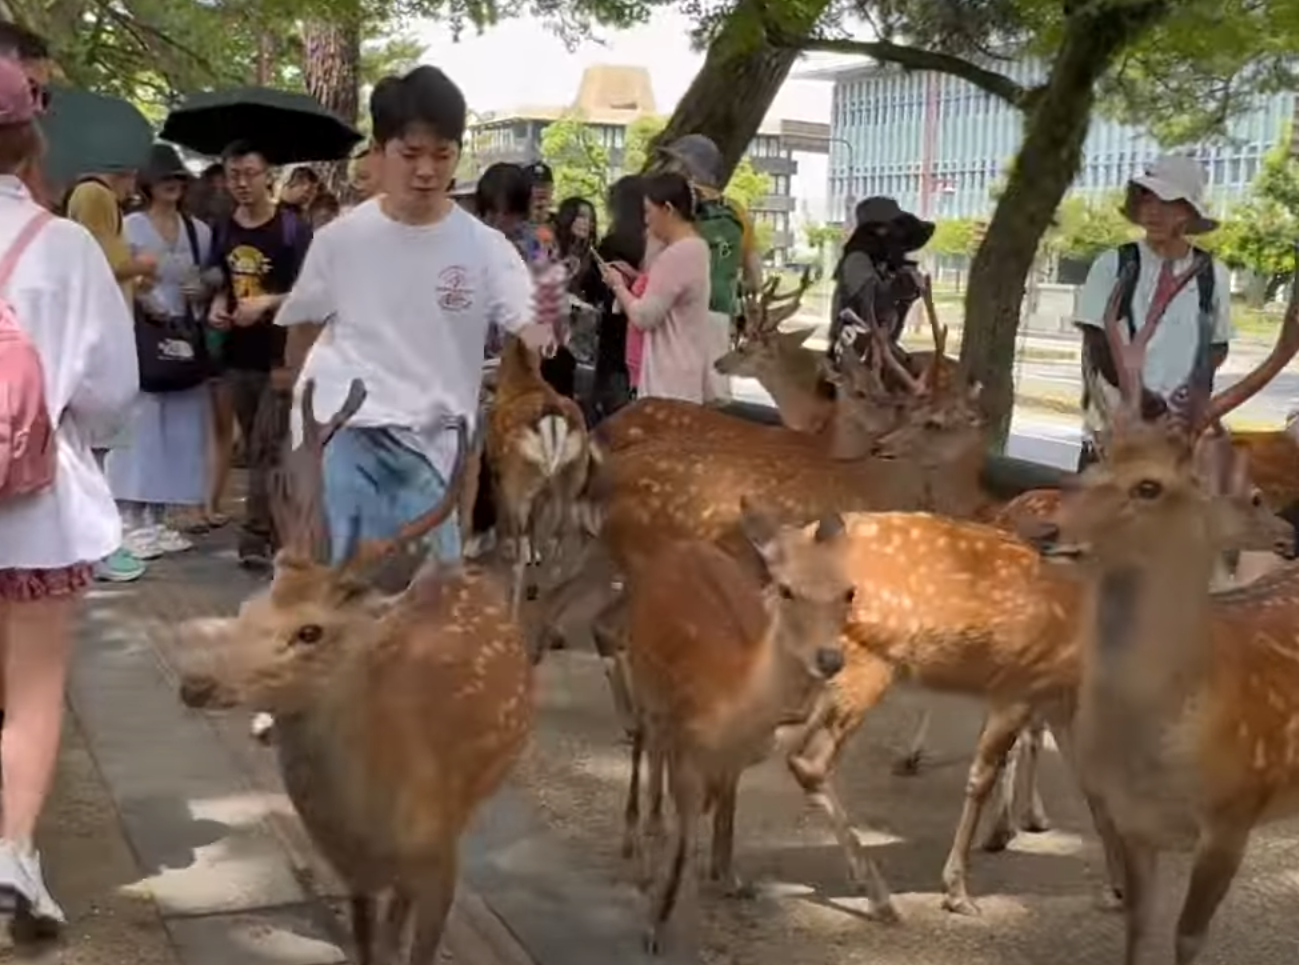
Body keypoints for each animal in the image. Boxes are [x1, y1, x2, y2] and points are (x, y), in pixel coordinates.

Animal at [177, 379, 533, 965]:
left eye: (310, 632)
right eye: (248, 608)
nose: (195, 682)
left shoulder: (442, 865)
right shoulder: (354, 878)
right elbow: (371, 947)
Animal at [486, 334, 592, 616]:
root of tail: (553, 420)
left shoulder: (499, 476)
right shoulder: (541, 493)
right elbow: (536, 532)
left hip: (519, 483)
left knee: (522, 550)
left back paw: (512, 608)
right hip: (569, 481)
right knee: (557, 539)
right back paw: (546, 596)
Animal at [621, 503, 862, 954]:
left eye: (849, 591)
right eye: (786, 590)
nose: (829, 659)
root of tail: (679, 546)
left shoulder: (735, 759)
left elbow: (728, 810)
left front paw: (730, 878)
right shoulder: (688, 749)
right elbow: (683, 843)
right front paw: (654, 928)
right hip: (642, 678)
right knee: (643, 741)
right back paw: (636, 846)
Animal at [1018, 261, 1299, 965]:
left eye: (1150, 486)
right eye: (1092, 462)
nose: (1042, 530)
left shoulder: (1235, 814)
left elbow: (1188, 937)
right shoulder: (1131, 822)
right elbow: (1139, 925)